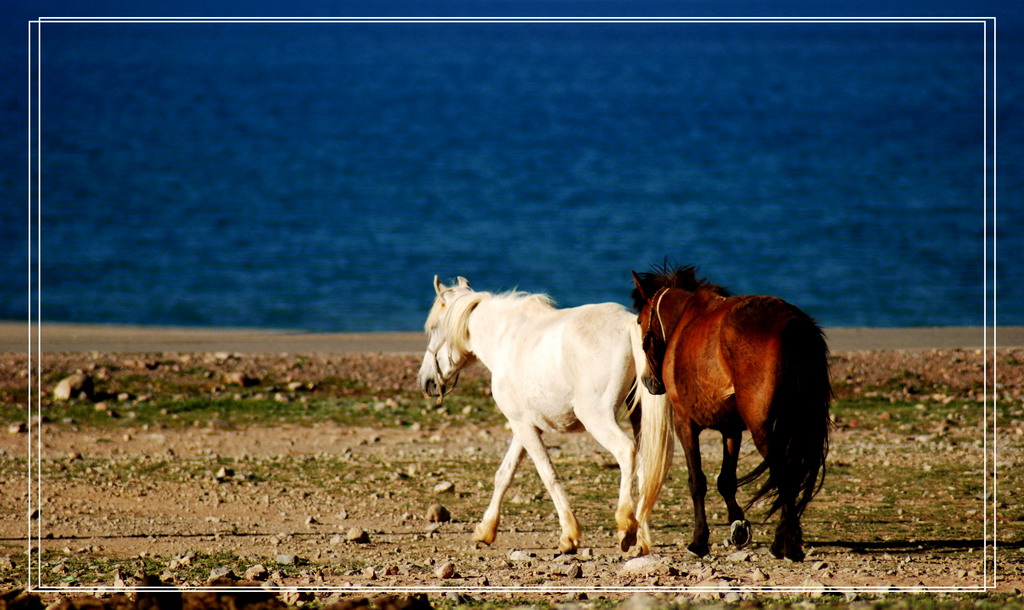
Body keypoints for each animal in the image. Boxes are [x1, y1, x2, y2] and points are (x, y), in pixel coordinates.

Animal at [415, 278, 671, 556]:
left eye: (434, 328)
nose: (425, 381)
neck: (505, 337)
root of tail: (627, 324)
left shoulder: (524, 427)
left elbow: (548, 475)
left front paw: (569, 536)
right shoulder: (523, 426)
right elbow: (504, 475)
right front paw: (485, 530)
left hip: (597, 418)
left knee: (627, 453)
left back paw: (626, 526)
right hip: (640, 419)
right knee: (646, 466)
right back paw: (642, 539)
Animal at [630, 266, 831, 560]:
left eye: (640, 321)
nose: (649, 382)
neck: (685, 321)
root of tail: (793, 325)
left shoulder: (685, 423)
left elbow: (697, 481)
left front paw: (699, 541)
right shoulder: (731, 428)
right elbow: (726, 480)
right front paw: (739, 526)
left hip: (765, 430)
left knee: (785, 474)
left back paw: (786, 543)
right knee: (791, 476)